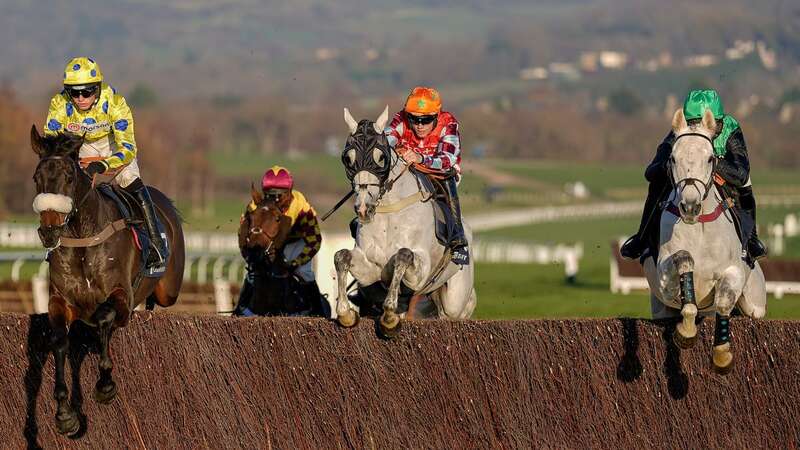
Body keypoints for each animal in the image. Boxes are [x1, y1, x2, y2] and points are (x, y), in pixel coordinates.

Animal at [29, 126, 184, 436]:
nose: (50, 231)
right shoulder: (60, 302)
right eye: (37, 178)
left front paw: (105, 386)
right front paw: (64, 413)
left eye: (69, 176)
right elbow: (59, 341)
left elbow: (103, 318)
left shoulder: (121, 298)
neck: (83, 238)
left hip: (169, 289)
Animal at [332, 106, 476, 338]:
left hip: (455, 297)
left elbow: (403, 255)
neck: (388, 213)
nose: (363, 208)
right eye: (348, 158)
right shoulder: (369, 270)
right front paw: (345, 313)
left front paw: (389, 317)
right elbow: (341, 256)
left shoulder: (420, 271)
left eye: (381, 157)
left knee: (456, 309)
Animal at [640, 107, 764, 374]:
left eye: (709, 159)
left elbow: (724, 302)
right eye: (673, 158)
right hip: (659, 308)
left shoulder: (732, 271)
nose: (689, 206)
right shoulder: (664, 274)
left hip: (755, 303)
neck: (698, 227)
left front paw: (722, 355)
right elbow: (684, 261)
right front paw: (686, 331)